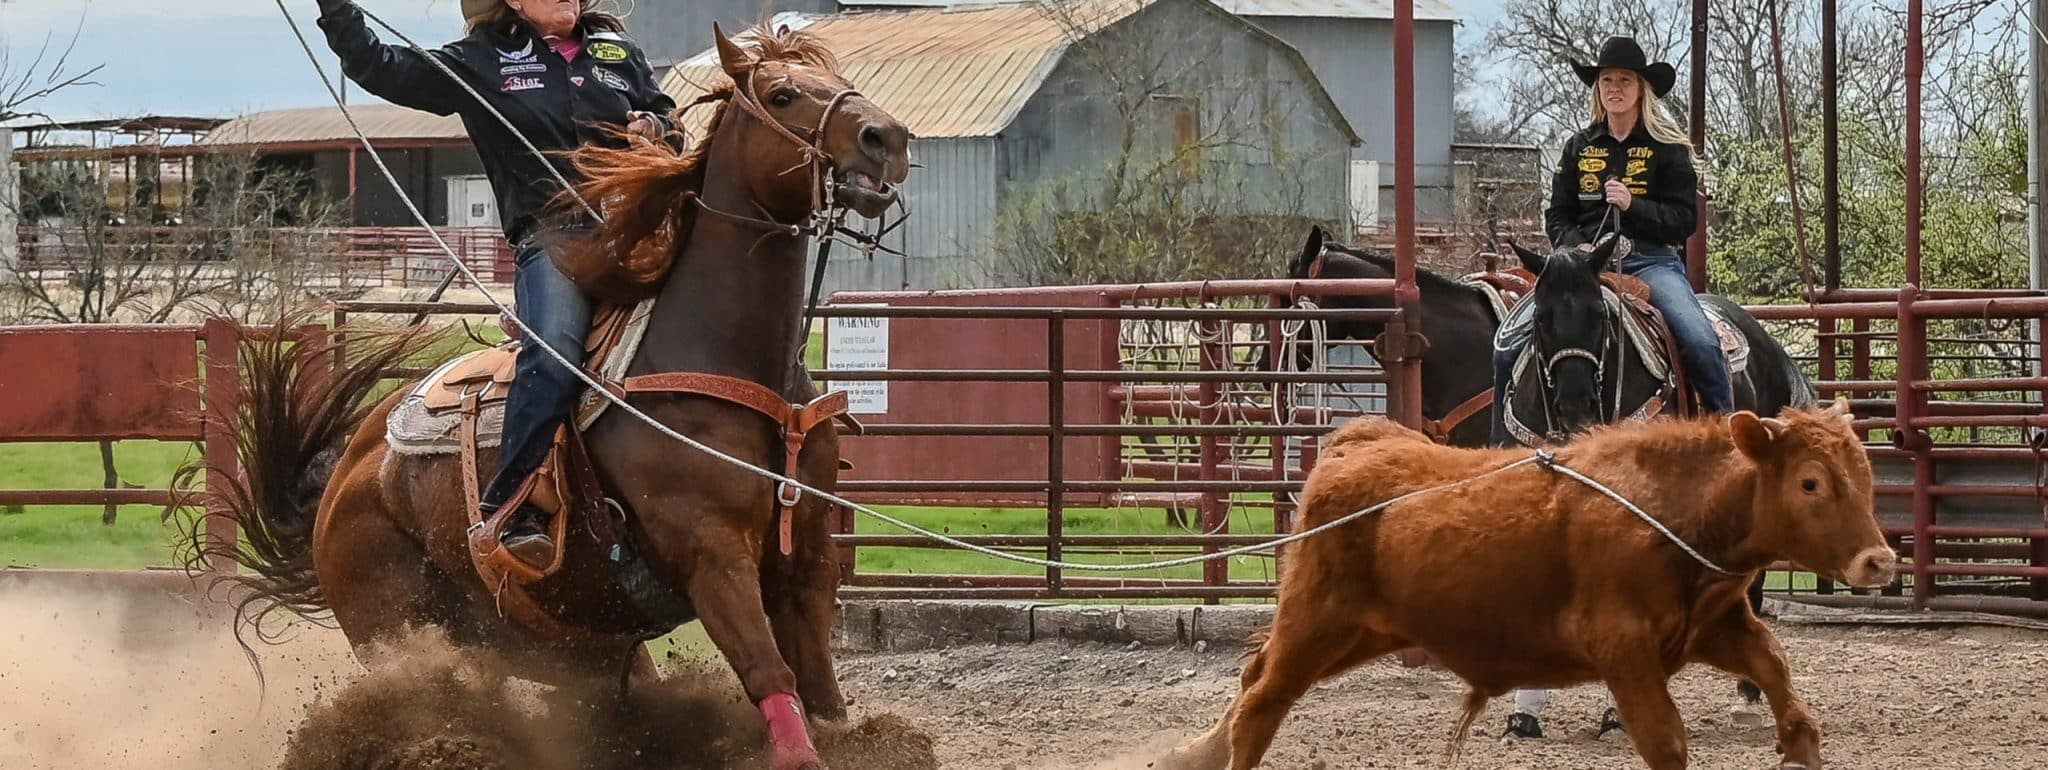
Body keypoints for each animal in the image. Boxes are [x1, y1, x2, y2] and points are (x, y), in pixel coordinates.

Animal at [192, 23, 911, 770]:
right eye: (782, 94)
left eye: (840, 81)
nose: (887, 137)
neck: (725, 356)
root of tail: (346, 477)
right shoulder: (711, 554)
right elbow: (771, 670)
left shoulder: (807, 555)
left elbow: (821, 691)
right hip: (398, 621)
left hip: (561, 638)